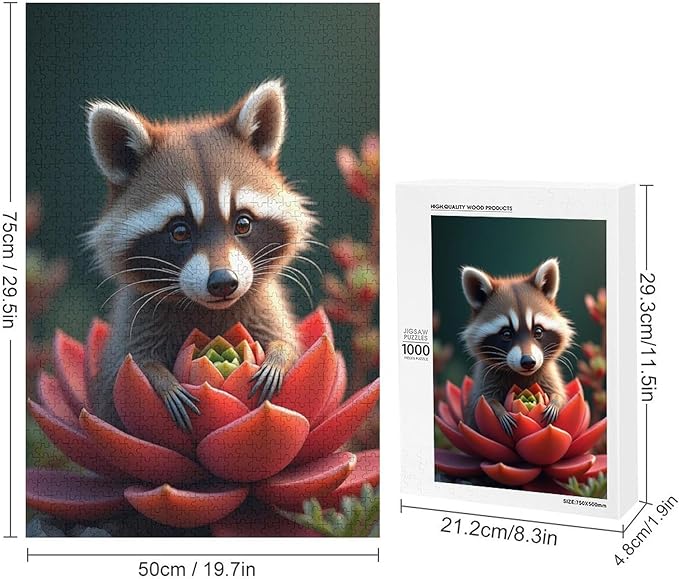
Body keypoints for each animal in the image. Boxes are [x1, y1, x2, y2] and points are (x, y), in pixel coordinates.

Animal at [84, 80, 317, 432]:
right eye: (180, 231)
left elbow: (286, 341)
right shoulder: (137, 318)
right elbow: (129, 367)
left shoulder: (264, 306)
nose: (223, 282)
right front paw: (161, 380)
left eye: (243, 223)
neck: (209, 309)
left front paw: (280, 355)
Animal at [460, 259, 574, 434]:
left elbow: (558, 393)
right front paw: (499, 411)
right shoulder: (486, 377)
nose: (528, 362)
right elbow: (483, 400)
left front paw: (555, 402)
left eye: (538, 331)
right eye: (506, 334)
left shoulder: (548, 374)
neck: (521, 374)